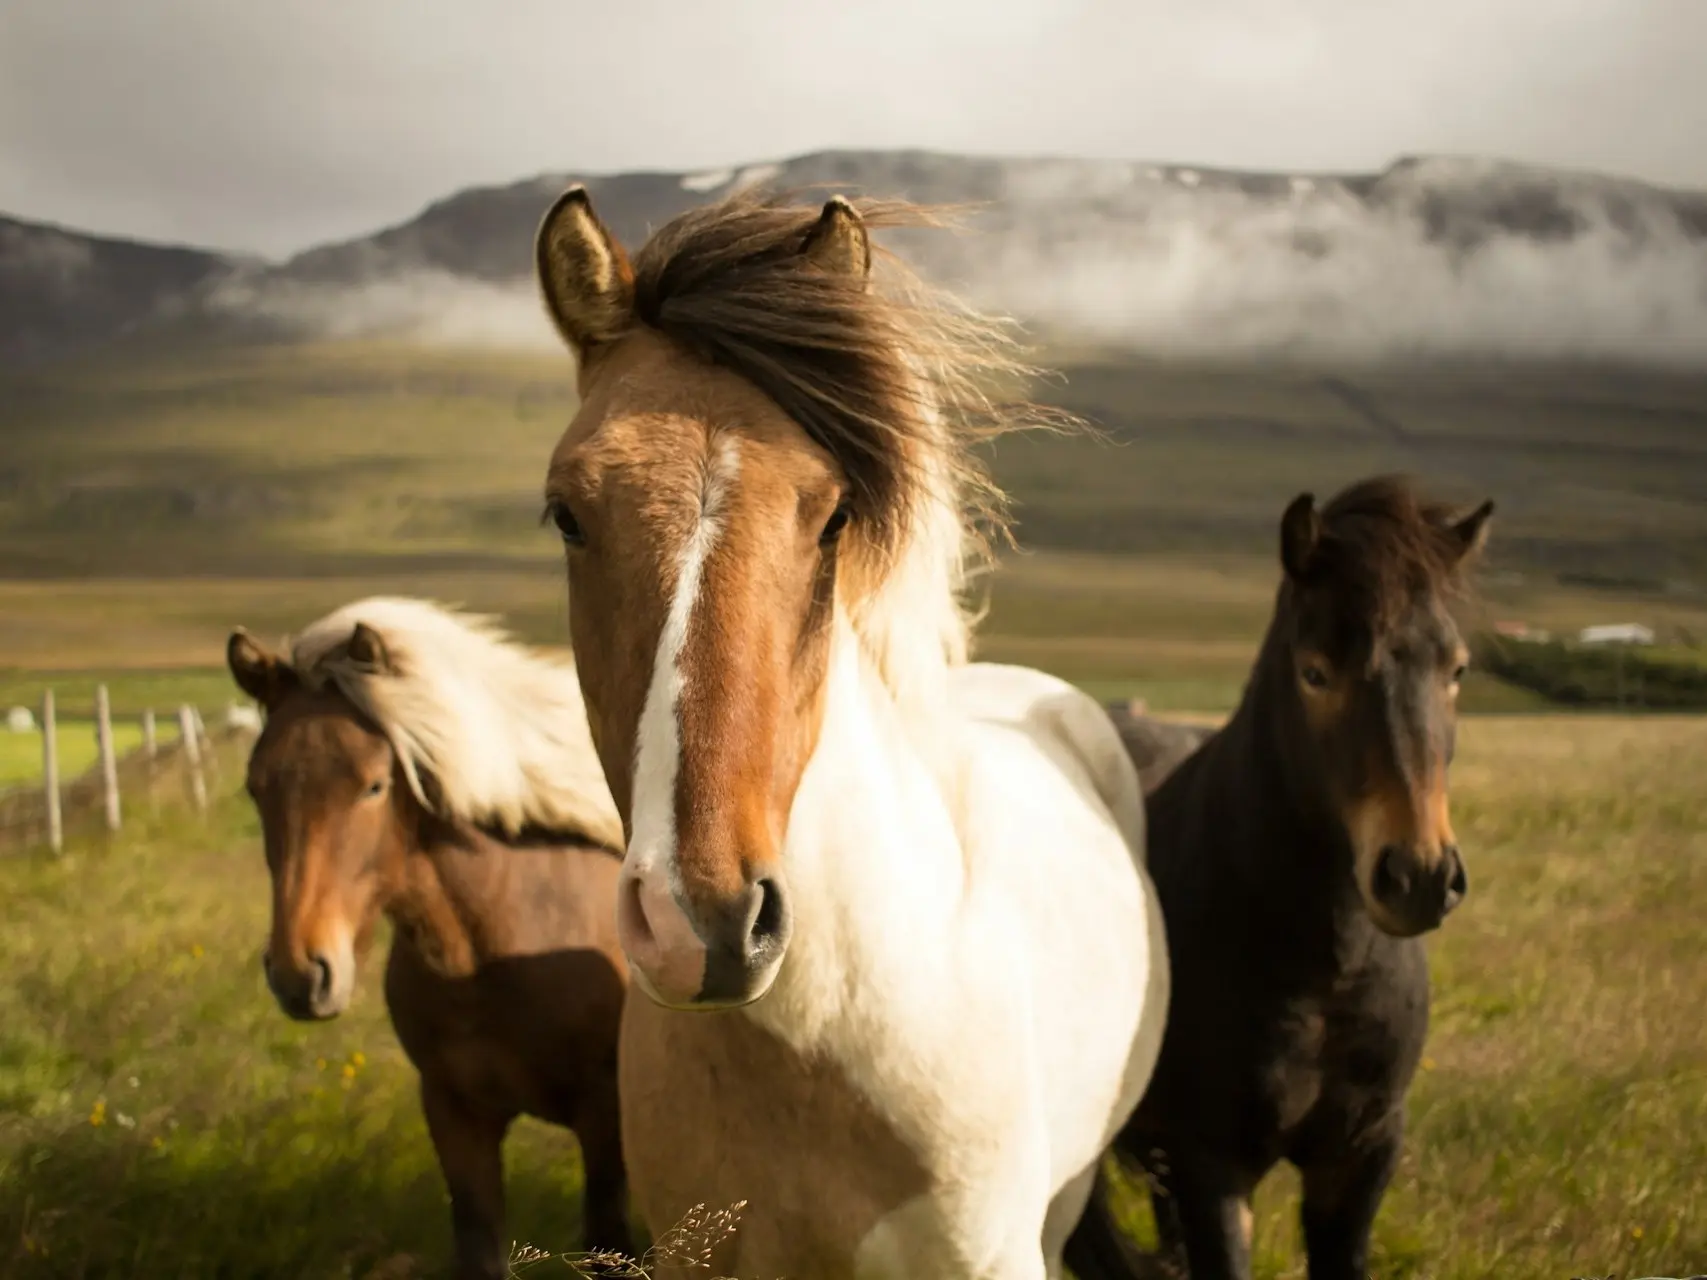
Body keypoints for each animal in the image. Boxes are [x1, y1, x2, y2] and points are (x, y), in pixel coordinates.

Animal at [223, 600, 631, 1280]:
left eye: (373, 785)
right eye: (256, 787)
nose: (301, 974)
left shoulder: (604, 1118)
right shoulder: (453, 1114)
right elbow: (480, 1246)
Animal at [1065, 477, 1495, 1280]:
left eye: (1455, 669)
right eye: (1315, 672)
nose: (1418, 876)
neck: (1324, 971)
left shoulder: (1359, 1158)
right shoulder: (1211, 1166)